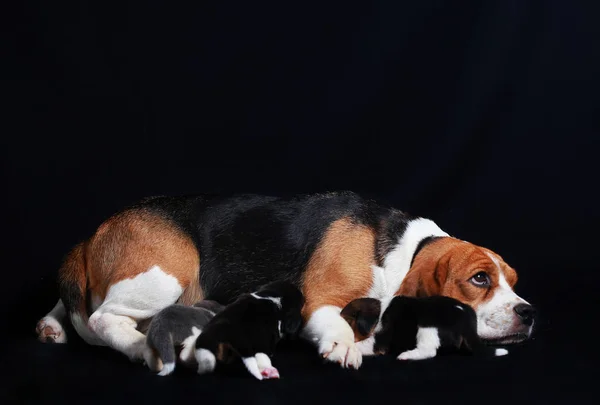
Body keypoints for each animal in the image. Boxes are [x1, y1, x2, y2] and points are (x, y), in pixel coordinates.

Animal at [340, 294, 508, 360]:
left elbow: (360, 345)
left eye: (347, 323)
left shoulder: (379, 341)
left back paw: (406, 355)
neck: (379, 312)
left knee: (429, 351)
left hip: (427, 327)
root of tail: (467, 322)